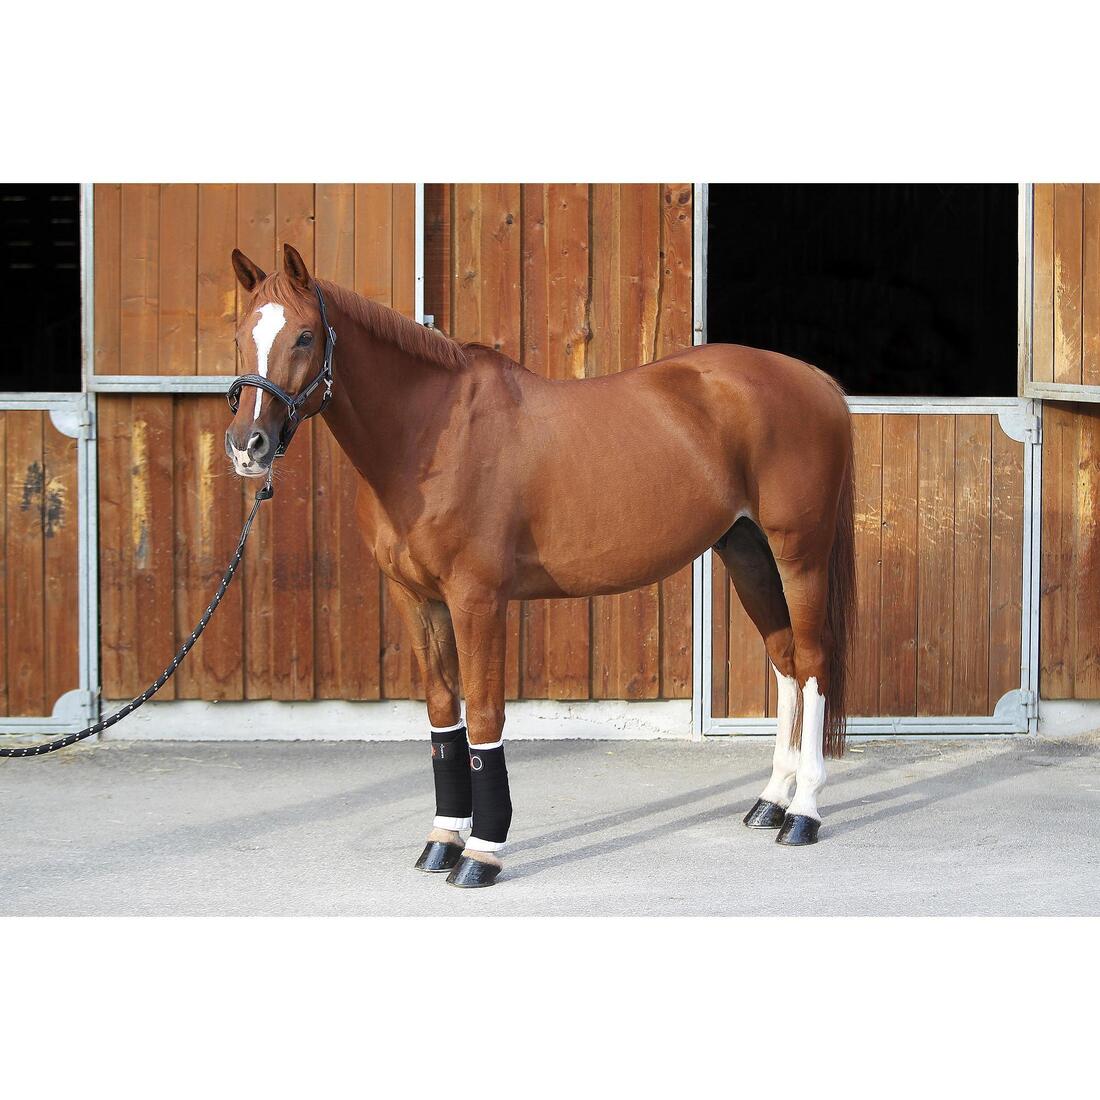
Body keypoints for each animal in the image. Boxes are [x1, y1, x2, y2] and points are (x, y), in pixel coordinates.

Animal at [225, 243, 856, 888]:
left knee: (813, 661)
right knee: (785, 661)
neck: (431, 434)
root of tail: (815, 380)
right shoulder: (417, 600)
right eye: (240, 333)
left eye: (305, 336)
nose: (247, 445)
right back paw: (770, 802)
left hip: (798, 552)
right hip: (747, 549)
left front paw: (481, 853)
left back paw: (803, 814)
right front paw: (442, 840)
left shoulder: (477, 599)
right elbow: (444, 715)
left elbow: (484, 717)